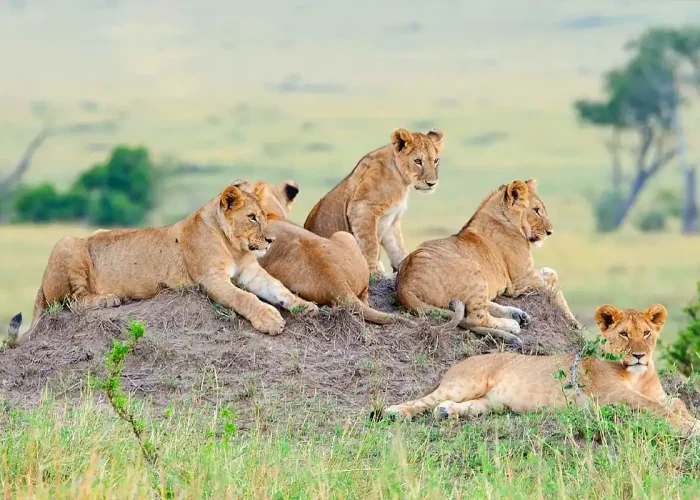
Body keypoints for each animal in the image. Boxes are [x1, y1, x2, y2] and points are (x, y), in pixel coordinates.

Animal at [8, 183, 318, 341]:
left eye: (265, 217)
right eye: (252, 218)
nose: (270, 240)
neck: (234, 247)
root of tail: (41, 285)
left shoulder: (251, 272)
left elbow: (278, 288)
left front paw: (305, 306)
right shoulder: (211, 278)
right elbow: (245, 298)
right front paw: (270, 319)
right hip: (66, 244)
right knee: (69, 302)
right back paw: (108, 299)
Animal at [304, 127, 443, 276]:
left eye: (435, 160)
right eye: (417, 161)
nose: (432, 183)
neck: (400, 179)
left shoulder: (391, 220)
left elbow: (398, 248)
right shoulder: (362, 209)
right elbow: (371, 245)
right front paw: (373, 271)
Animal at [384, 303, 700, 437]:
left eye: (646, 333)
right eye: (624, 334)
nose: (639, 356)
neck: (637, 375)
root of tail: (462, 361)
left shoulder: (657, 394)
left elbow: (676, 402)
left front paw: (692, 420)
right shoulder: (611, 396)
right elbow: (655, 407)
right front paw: (688, 426)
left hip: (490, 403)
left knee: (460, 406)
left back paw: (447, 411)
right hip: (465, 383)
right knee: (424, 400)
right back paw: (395, 411)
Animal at [396, 178, 579, 346]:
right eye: (536, 210)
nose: (550, 232)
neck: (506, 220)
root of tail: (405, 286)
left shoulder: (528, 275)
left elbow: (551, 273)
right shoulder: (522, 280)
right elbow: (556, 290)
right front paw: (575, 324)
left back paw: (517, 315)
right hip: (474, 269)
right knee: (475, 318)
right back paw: (512, 324)